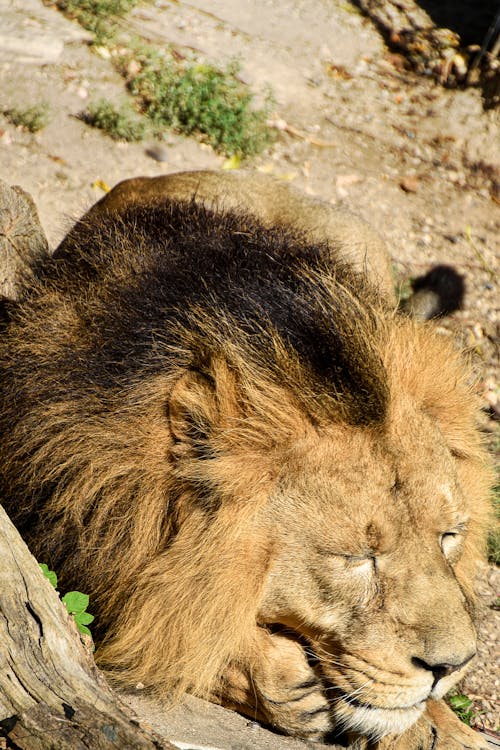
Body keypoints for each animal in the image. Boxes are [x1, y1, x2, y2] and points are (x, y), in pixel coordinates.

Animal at [0, 172, 492, 750]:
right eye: (355, 558)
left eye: (449, 537)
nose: (452, 666)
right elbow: (181, 624)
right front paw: (277, 680)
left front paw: (445, 727)